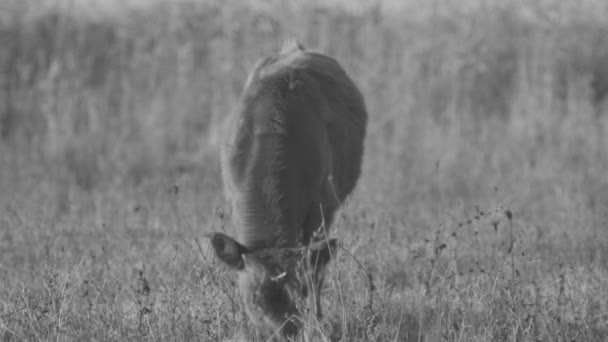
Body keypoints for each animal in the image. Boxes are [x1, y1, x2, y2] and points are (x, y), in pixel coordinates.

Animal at [209, 40, 366, 340]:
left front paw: (317, 323)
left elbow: (316, 270)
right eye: (254, 300)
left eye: (299, 291)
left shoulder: (320, 210)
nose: (287, 333)